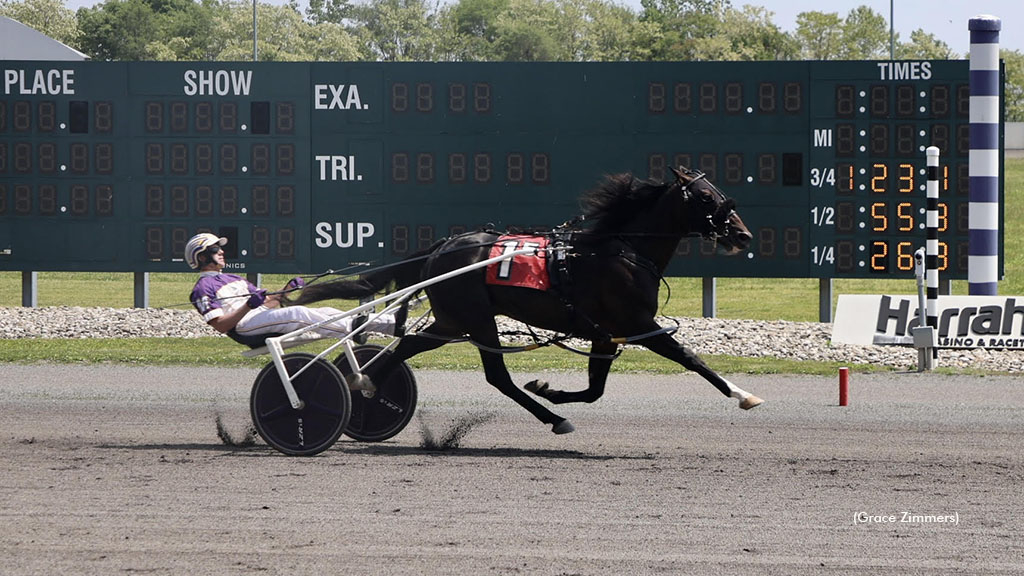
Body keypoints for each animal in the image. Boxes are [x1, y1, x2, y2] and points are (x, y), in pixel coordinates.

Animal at [292, 166, 765, 430]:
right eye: (705, 196)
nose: (743, 234)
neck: (622, 249)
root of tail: (442, 247)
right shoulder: (638, 324)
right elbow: (691, 358)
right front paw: (744, 395)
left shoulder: (605, 333)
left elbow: (595, 389)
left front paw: (549, 388)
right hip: (475, 318)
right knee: (494, 376)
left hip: (452, 321)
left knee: (406, 348)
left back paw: (364, 384)